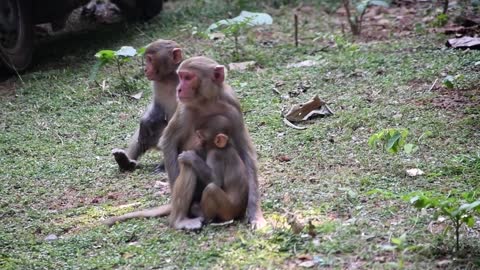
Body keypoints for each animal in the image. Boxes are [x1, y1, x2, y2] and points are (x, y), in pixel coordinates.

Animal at [111, 38, 183, 171]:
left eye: (150, 59)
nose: (145, 69)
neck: (169, 78)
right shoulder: (157, 84)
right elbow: (157, 108)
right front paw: (144, 121)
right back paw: (124, 161)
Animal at [161, 56, 266, 229]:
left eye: (188, 77)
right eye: (180, 77)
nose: (179, 89)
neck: (206, 102)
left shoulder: (233, 108)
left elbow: (246, 152)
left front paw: (255, 213)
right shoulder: (184, 109)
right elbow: (168, 141)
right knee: (186, 167)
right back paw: (179, 219)